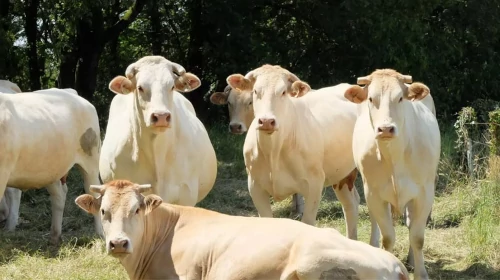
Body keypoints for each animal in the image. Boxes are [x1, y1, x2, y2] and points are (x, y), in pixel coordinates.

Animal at [0, 85, 101, 243]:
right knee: (59, 194)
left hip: (90, 160)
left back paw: (100, 234)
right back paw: (55, 236)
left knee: (93, 194)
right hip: (50, 168)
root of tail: (70, 92)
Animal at [228, 64, 364, 240]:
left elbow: (308, 223)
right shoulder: (255, 186)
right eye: (256, 91)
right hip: (342, 174)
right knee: (351, 204)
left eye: (283, 92)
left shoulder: (314, 184)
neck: (274, 151)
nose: (266, 121)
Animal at [342, 68, 440, 280]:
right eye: (371, 98)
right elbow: (388, 238)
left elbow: (417, 237)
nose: (385, 129)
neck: (394, 155)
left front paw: (421, 273)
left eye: (401, 98)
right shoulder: (374, 193)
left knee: (411, 224)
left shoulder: (424, 193)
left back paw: (411, 259)